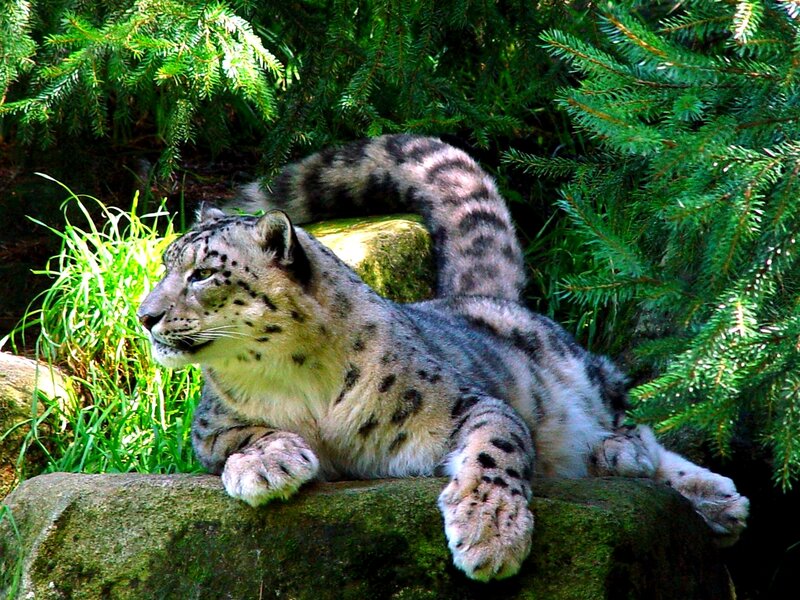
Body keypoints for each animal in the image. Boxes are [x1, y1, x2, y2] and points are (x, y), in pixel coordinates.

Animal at [137, 134, 749, 581]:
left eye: (202, 273)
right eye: (166, 264)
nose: (145, 316)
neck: (297, 380)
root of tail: (478, 295)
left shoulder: (462, 404)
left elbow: (496, 446)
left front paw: (489, 533)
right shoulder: (208, 426)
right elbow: (240, 435)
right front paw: (268, 464)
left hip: (582, 371)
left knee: (633, 415)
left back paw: (649, 466)